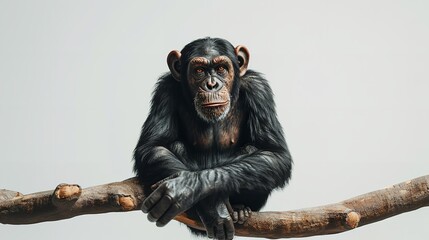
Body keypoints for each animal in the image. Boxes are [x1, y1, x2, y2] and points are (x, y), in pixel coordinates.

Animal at [133, 37, 290, 240]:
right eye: (199, 70)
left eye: (221, 68)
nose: (212, 84)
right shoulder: (164, 90)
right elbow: (154, 147)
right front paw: (212, 208)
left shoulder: (259, 89)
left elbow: (274, 153)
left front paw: (185, 188)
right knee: (175, 145)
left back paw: (240, 209)